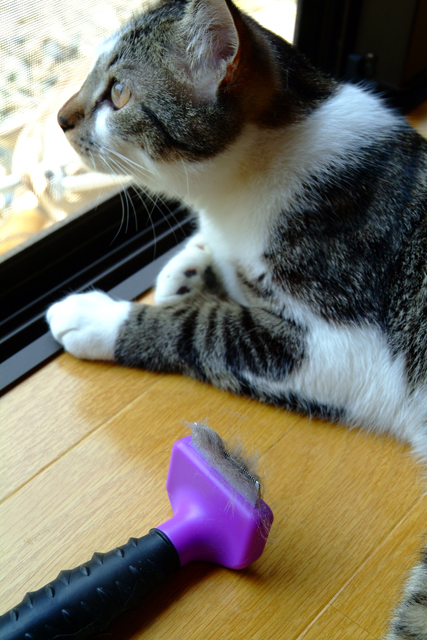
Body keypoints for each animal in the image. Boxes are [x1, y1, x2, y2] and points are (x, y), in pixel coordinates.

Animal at [46, 0, 427, 636]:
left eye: (118, 93)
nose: (59, 117)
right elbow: (214, 263)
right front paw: (185, 269)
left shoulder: (346, 346)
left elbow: (204, 328)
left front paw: (98, 315)